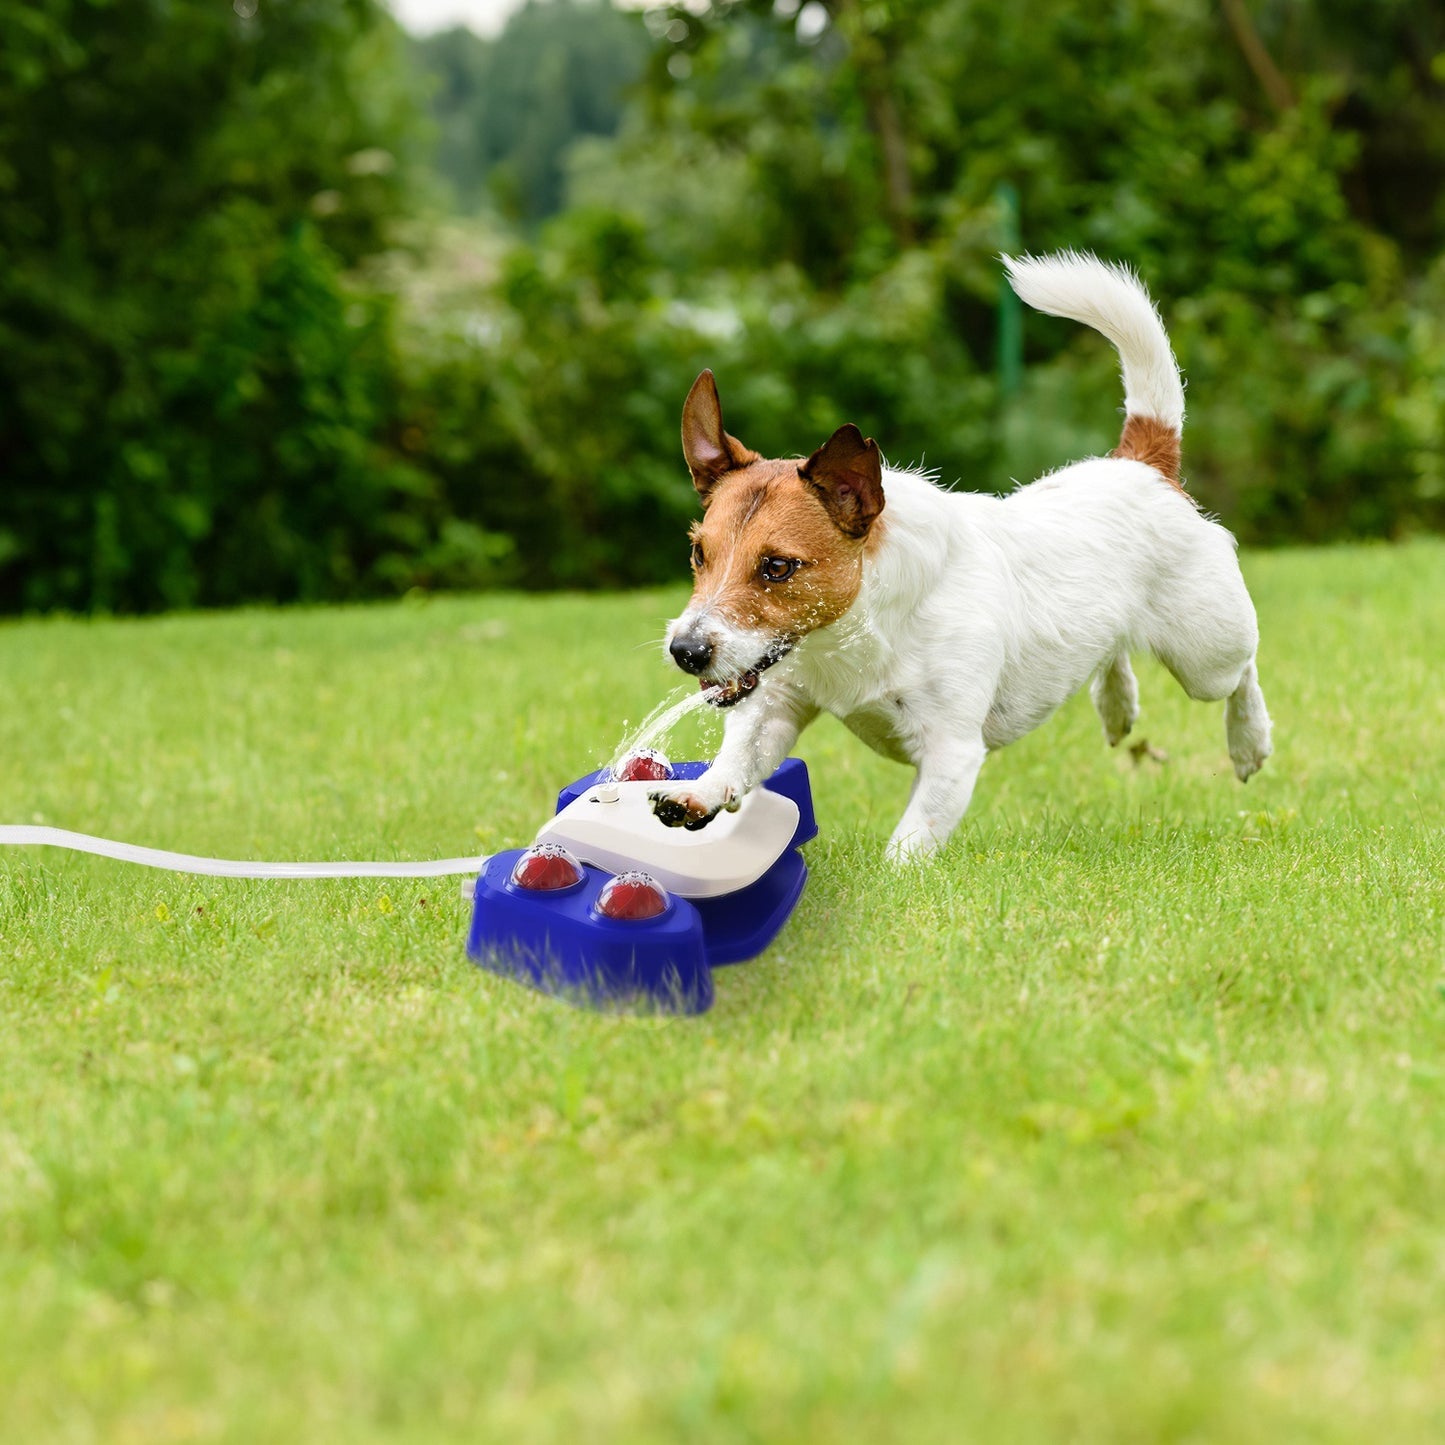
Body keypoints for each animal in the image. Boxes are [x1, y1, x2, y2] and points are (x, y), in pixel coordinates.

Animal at [650, 249, 1271, 861]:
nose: (685, 651)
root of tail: (1142, 463)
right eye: (698, 553)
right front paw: (698, 794)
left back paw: (1249, 740)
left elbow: (909, 842)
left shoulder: (951, 751)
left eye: (778, 567)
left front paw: (891, 879)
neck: (855, 633)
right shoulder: (776, 701)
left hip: (1206, 651)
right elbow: (740, 754)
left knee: (1243, 670)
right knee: (1113, 652)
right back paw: (1117, 706)